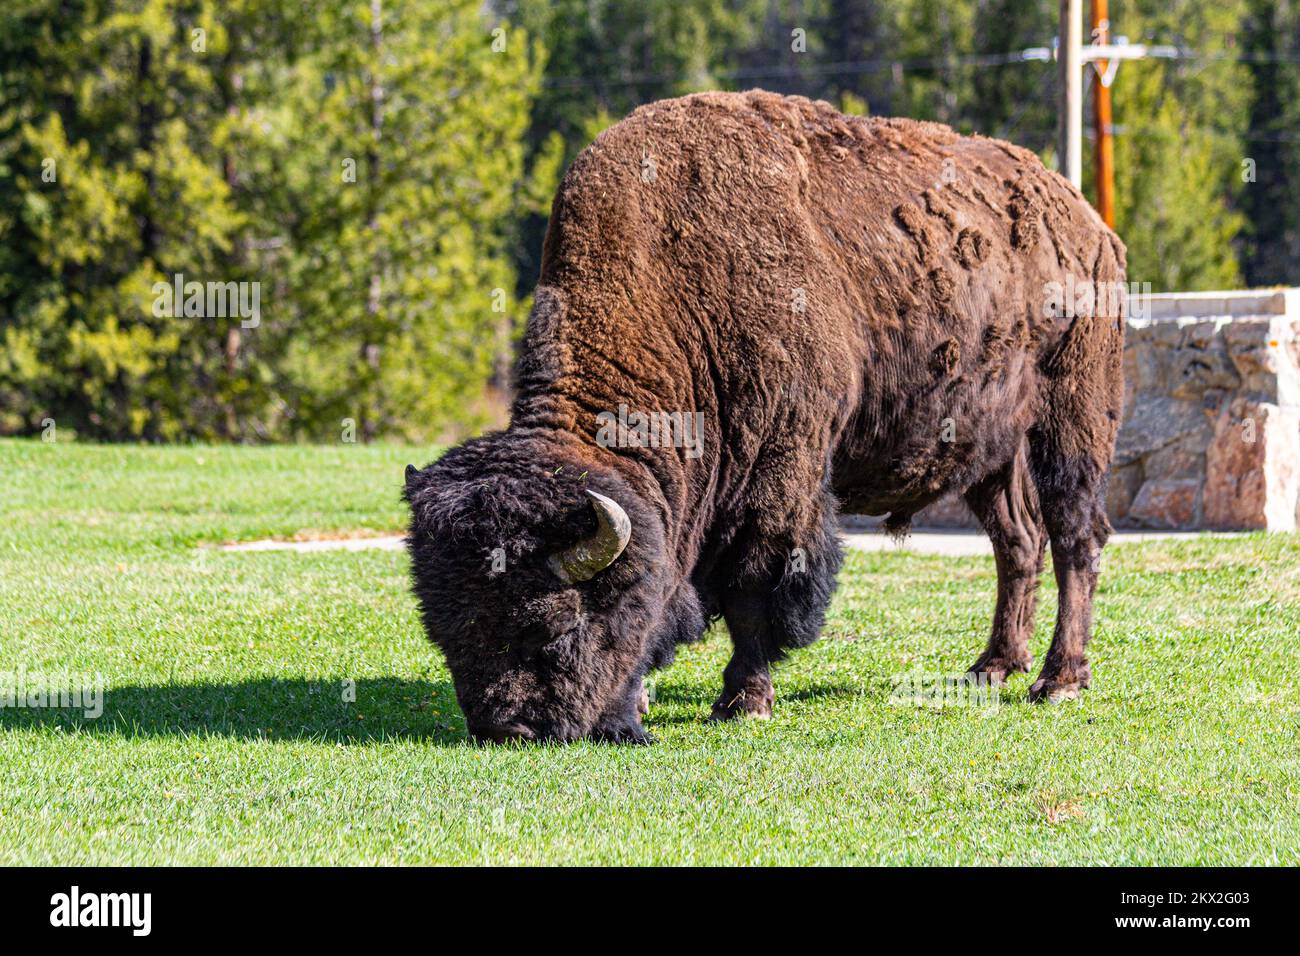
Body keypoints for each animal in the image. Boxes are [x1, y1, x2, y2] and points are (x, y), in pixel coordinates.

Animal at [408, 89, 1128, 743]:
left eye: (553, 623)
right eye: (443, 629)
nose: (506, 728)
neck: (677, 297)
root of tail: (1086, 222)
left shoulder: (781, 473)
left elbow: (755, 586)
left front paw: (742, 702)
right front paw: (648, 700)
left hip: (1073, 418)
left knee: (1076, 536)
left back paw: (1058, 680)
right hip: (989, 447)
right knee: (1017, 542)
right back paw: (993, 667)